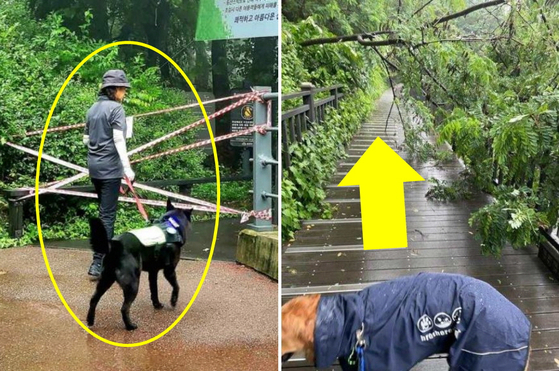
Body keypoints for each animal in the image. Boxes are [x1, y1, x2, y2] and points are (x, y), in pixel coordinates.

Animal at [86, 201, 192, 332]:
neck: (170, 223)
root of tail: (116, 245)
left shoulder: (153, 273)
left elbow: (154, 291)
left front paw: (157, 305)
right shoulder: (169, 270)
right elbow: (176, 286)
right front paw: (173, 301)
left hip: (105, 280)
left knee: (93, 300)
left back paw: (90, 321)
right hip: (133, 284)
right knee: (124, 308)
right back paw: (130, 326)